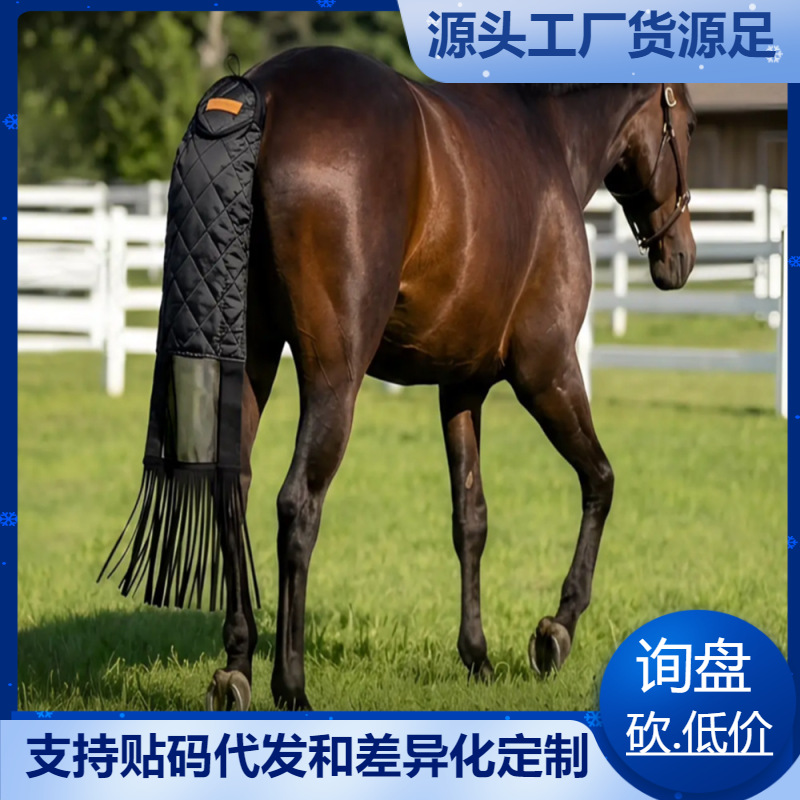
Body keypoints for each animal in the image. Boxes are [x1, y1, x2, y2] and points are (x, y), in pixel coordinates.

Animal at [108, 46, 698, 711]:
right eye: (690, 124)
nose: (679, 257)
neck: (549, 138)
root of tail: (259, 94)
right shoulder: (546, 370)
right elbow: (600, 480)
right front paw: (556, 630)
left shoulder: (462, 387)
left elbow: (471, 519)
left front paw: (477, 655)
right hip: (335, 379)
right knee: (298, 505)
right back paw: (292, 685)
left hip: (252, 360)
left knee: (232, 487)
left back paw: (237, 666)